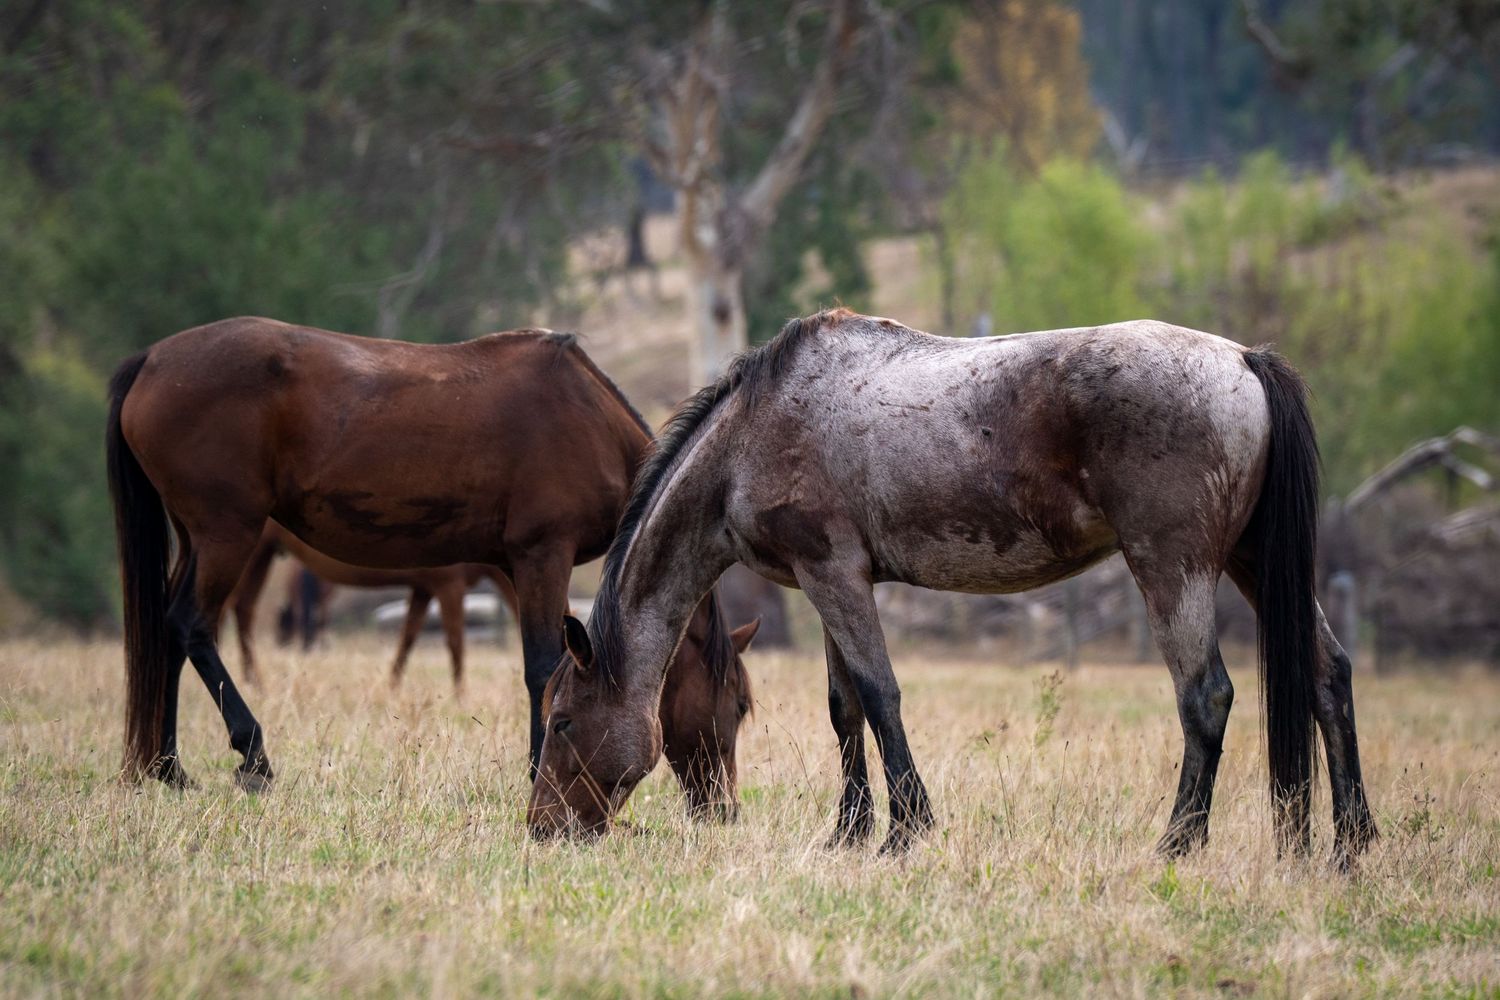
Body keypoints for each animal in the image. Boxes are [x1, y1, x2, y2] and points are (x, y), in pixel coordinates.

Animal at [106, 317, 754, 800]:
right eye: (738, 704)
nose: (720, 804)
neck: (589, 420)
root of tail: (152, 359)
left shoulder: (511, 568)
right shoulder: (542, 555)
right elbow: (543, 667)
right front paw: (537, 769)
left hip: (198, 538)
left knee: (166, 631)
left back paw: (167, 768)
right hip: (227, 534)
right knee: (191, 625)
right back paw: (253, 756)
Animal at [528, 308, 1377, 865]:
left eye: (562, 721)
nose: (541, 827)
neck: (752, 434)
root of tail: (1243, 360)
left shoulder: (835, 575)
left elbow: (880, 696)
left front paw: (906, 830)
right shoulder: (823, 581)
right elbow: (843, 709)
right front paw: (849, 831)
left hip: (1174, 568)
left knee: (1206, 696)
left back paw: (1178, 843)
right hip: (1252, 563)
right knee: (1328, 674)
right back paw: (1350, 842)